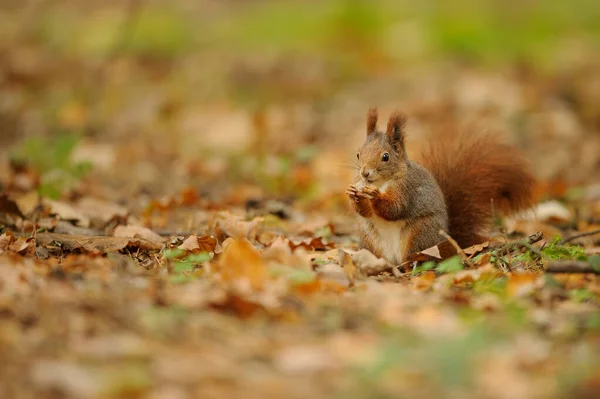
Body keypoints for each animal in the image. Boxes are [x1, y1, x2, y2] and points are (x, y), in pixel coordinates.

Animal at [344, 108, 536, 268]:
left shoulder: (406, 189)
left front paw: (375, 196)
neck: (380, 182)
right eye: (358, 154)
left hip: (419, 235)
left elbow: (395, 209)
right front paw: (354, 195)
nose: (364, 173)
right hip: (370, 240)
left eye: (386, 157)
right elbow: (365, 212)